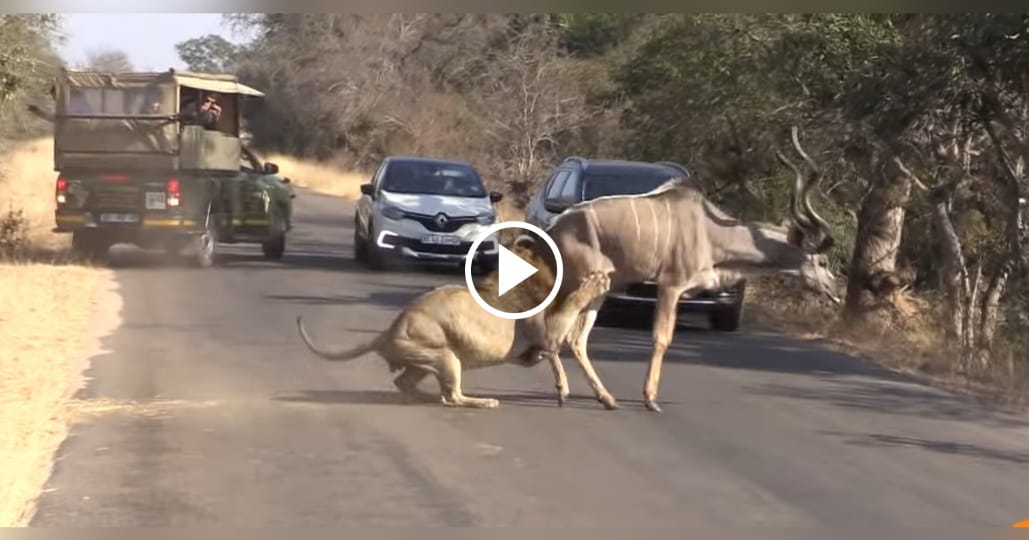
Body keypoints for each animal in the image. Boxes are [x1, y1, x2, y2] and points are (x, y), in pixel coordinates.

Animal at [295, 236, 610, 409]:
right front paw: (595, 283)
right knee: (453, 396)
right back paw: (484, 401)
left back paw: (423, 397)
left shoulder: (538, 346)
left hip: (423, 360)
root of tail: (386, 332)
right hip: (446, 355)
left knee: (404, 382)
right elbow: (571, 304)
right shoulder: (548, 331)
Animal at [524, 127, 841, 413]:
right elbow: (661, 337)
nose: (834, 292)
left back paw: (606, 398)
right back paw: (564, 391)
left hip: (598, 289)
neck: (711, 233)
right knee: (554, 325)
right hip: (579, 281)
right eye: (823, 262)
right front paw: (651, 399)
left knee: (575, 338)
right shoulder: (671, 285)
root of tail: (554, 229)